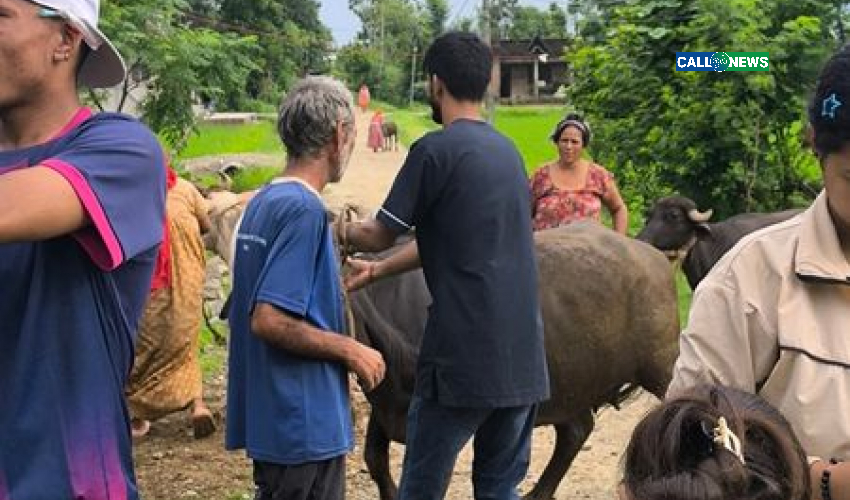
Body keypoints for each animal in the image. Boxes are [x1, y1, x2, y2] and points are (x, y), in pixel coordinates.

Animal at [348, 223, 680, 500]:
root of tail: (654, 258)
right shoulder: (384, 403)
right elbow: (375, 459)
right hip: (568, 382)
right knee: (576, 430)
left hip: (661, 365)